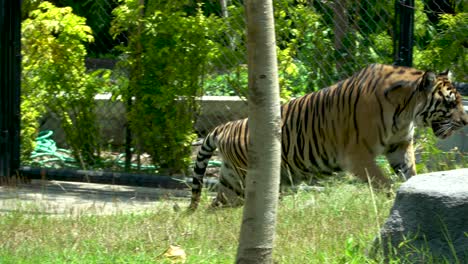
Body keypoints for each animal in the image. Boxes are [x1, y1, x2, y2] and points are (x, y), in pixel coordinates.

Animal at [188, 63, 468, 209]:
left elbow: (409, 173)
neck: (406, 110)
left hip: (231, 184)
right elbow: (383, 182)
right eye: (450, 103)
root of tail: (225, 126)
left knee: (215, 206)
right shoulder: (358, 157)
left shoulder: (399, 145)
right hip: (249, 181)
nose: (466, 121)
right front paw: (391, 200)